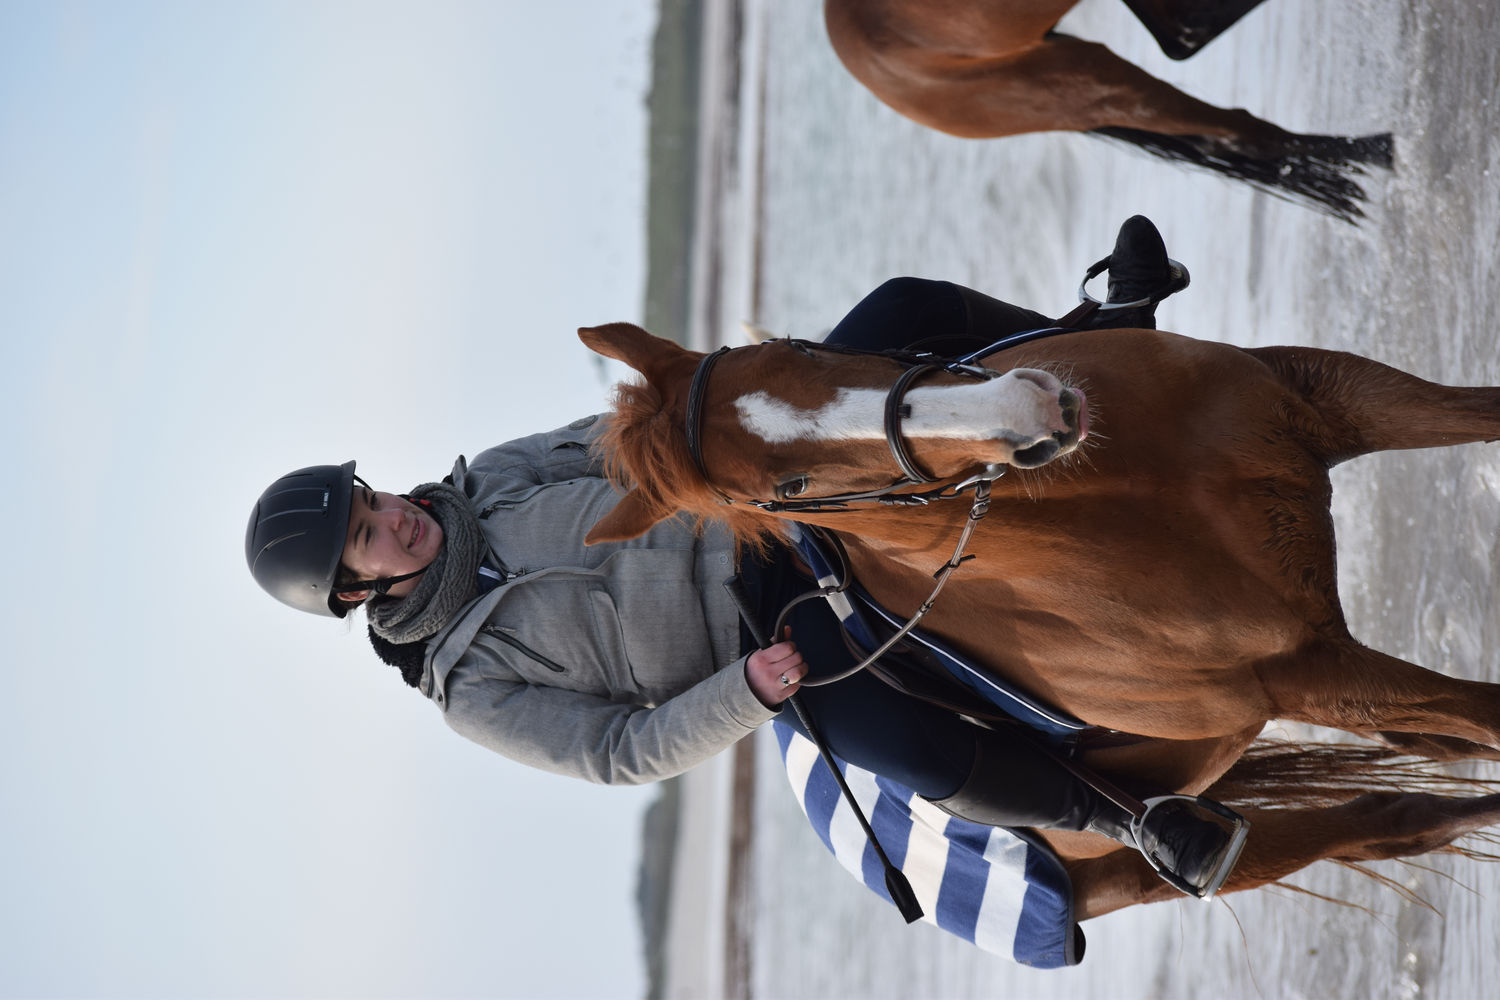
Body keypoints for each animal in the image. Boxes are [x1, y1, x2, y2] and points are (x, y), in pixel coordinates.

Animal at [576, 325, 1500, 917]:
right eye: (788, 487)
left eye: (797, 350)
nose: (1029, 411)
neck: (1123, 489)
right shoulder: (1309, 673)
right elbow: (1483, 714)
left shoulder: (1327, 393)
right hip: (1129, 861)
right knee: (1379, 825)